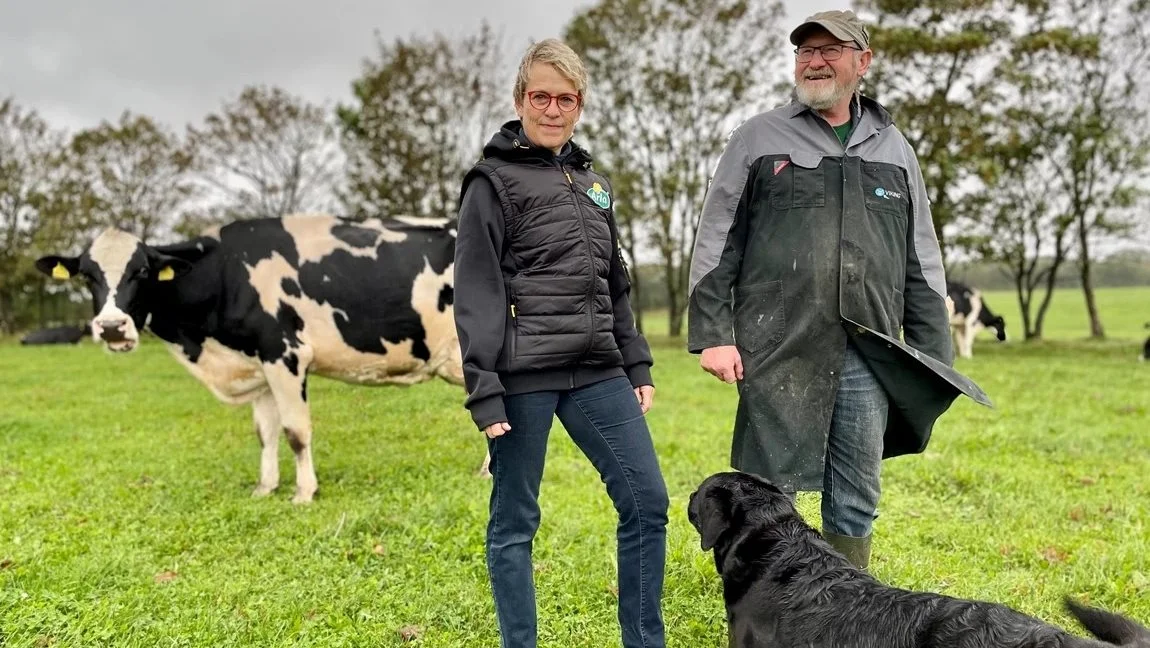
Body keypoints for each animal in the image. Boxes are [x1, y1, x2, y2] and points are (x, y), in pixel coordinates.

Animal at [37, 215, 471, 504]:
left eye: (142, 271)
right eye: (87, 275)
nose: (112, 327)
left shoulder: (286, 354)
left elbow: (296, 431)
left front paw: (304, 492)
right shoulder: (259, 366)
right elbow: (266, 433)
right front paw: (266, 487)